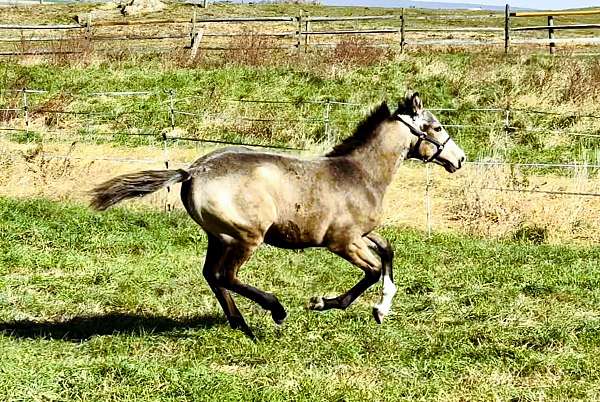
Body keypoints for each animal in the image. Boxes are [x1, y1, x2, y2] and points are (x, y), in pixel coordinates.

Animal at [90, 91, 464, 336]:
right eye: (437, 128)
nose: (459, 159)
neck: (359, 173)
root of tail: (193, 171)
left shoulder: (363, 233)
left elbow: (387, 252)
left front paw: (381, 309)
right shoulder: (343, 242)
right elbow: (372, 271)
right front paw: (322, 302)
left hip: (219, 237)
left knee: (212, 275)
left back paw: (242, 326)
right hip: (246, 237)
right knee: (226, 275)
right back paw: (276, 311)